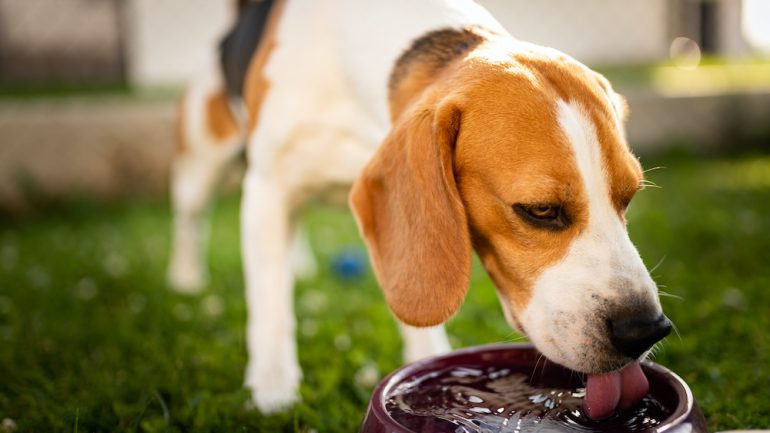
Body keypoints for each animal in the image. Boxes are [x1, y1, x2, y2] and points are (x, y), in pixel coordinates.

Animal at [166, 0, 664, 418]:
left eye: (628, 198)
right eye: (539, 211)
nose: (646, 330)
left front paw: (427, 364)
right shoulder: (267, 187)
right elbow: (270, 303)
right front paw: (273, 391)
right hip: (205, 162)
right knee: (191, 217)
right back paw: (186, 278)